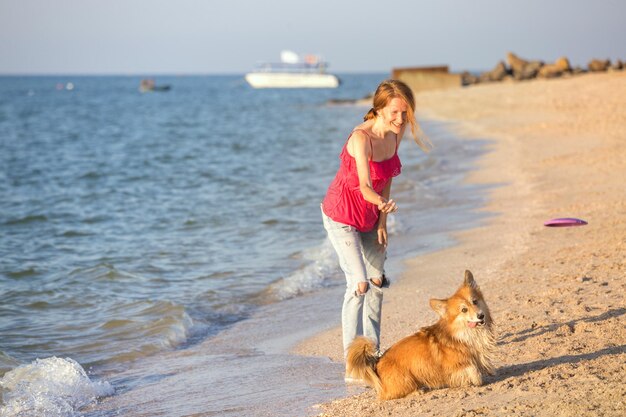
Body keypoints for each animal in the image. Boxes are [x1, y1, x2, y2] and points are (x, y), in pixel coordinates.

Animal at [346, 270, 492, 400]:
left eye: (475, 301)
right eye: (464, 310)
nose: (481, 315)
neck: (463, 334)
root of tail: (377, 364)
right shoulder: (452, 366)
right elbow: (473, 370)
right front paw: (475, 380)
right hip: (406, 379)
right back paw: (417, 391)